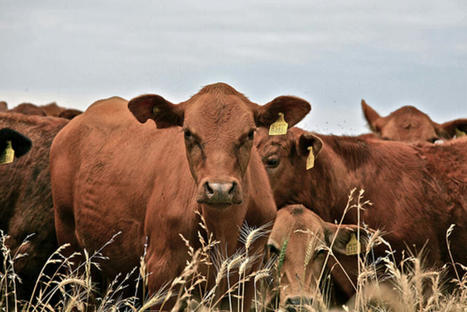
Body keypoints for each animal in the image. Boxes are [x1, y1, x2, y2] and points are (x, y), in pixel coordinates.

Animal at [49, 82, 312, 310]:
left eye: (249, 134)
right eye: (188, 133)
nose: (219, 188)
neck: (222, 231)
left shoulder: (245, 278)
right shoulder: (161, 274)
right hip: (72, 250)